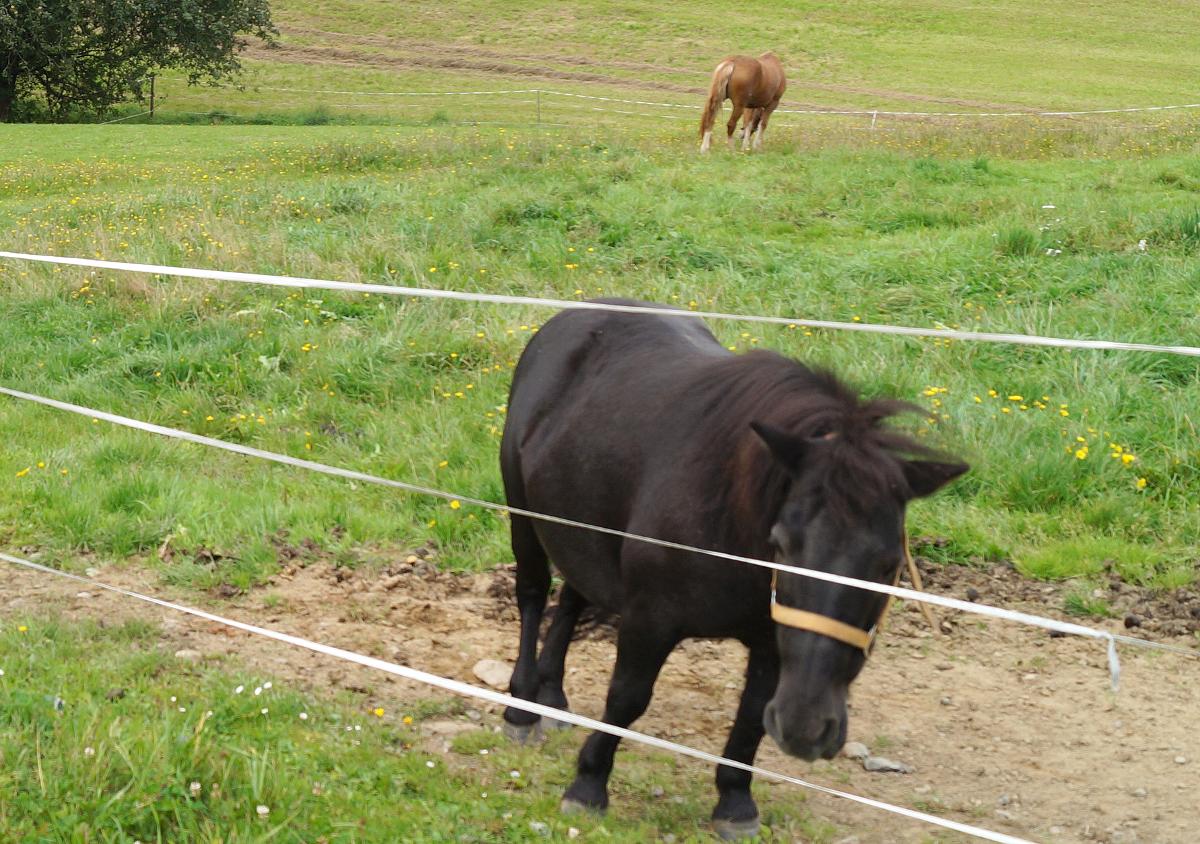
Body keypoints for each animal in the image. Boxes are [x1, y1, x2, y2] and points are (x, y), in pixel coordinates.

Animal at [499, 301, 968, 839]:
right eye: (783, 544)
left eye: (889, 564)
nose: (808, 728)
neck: (731, 530)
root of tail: (573, 316)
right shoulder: (649, 619)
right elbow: (626, 699)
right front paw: (588, 785)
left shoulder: (772, 640)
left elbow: (749, 719)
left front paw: (735, 801)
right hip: (523, 515)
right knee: (533, 594)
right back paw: (522, 707)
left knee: (575, 595)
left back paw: (552, 697)